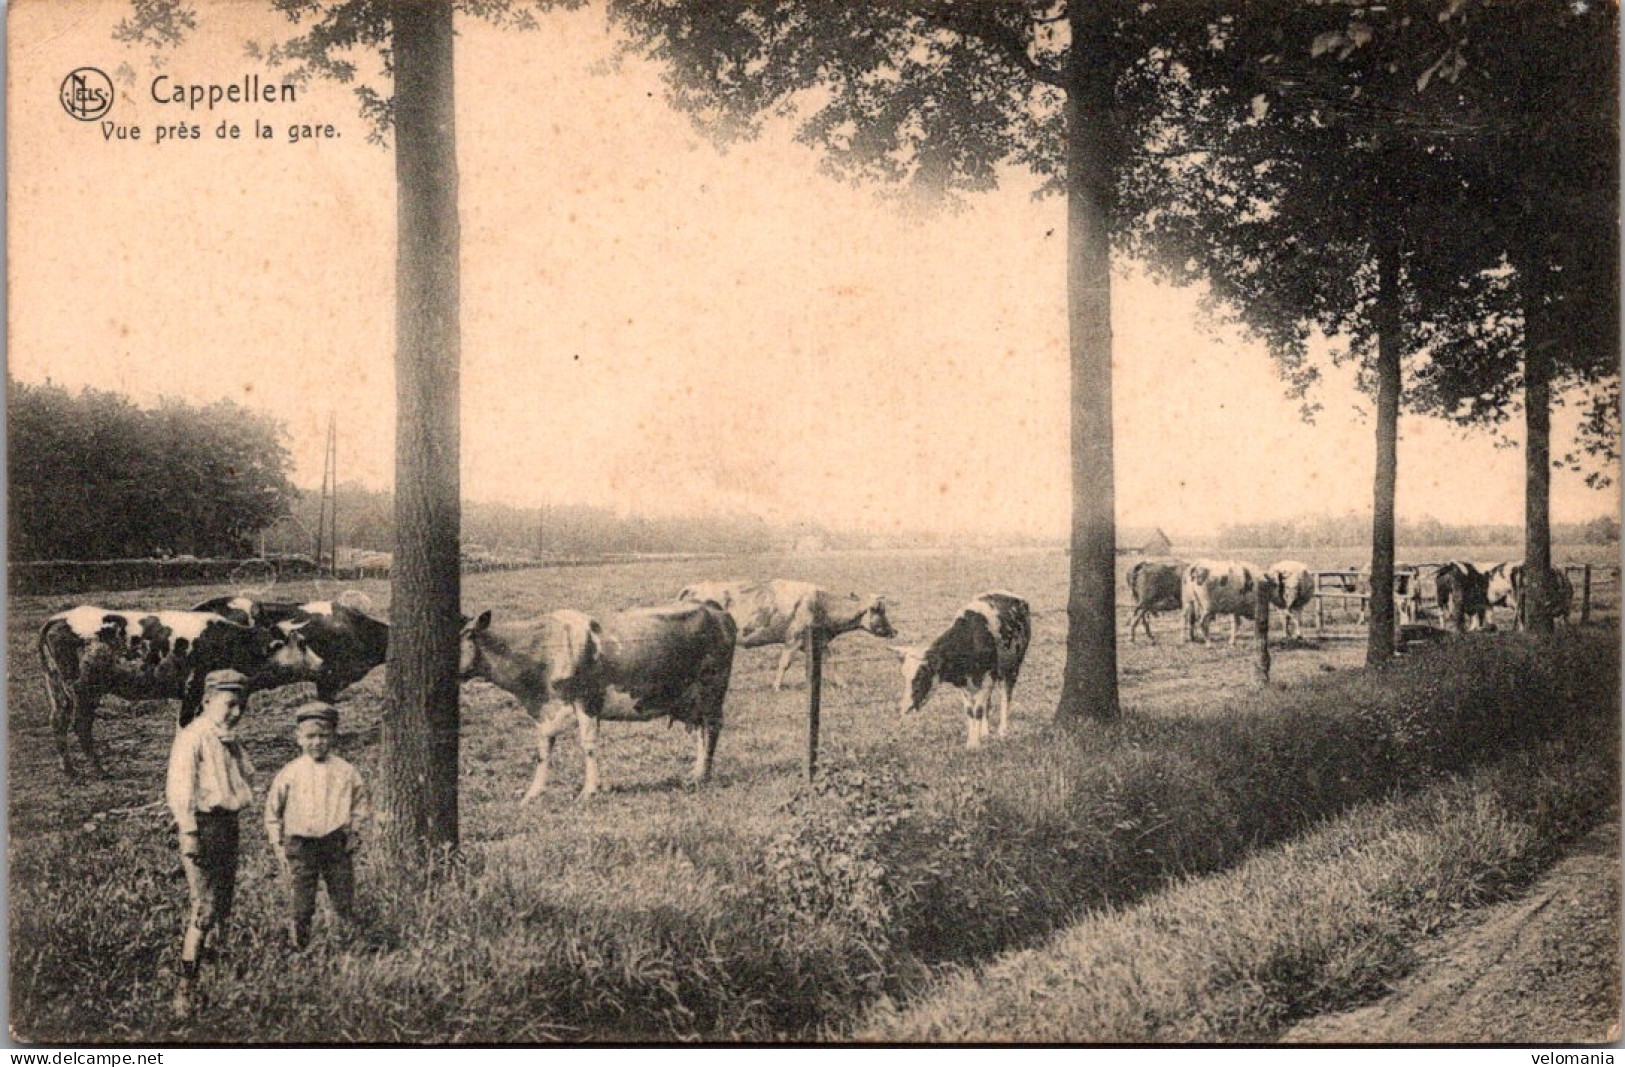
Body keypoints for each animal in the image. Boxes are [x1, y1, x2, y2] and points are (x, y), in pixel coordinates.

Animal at [35, 607, 316, 773]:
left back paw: (71, 771)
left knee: (57, 722)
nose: (322, 663)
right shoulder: (194, 688)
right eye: (302, 643)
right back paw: (98, 771)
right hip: (85, 689)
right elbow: (186, 726)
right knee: (80, 725)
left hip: (57, 688)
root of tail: (62, 616)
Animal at [458, 597, 737, 799]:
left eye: (466, 637)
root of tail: (714, 608)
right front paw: (533, 794)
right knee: (701, 731)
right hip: (694, 697)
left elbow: (588, 744)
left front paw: (589, 790)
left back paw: (702, 777)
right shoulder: (545, 709)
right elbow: (543, 749)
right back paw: (695, 773)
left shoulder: (587, 699)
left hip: (712, 686)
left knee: (712, 728)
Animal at [676, 578, 897, 685]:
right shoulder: (794, 638)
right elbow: (784, 664)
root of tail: (693, 586)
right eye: (880, 611)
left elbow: (828, 661)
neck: (821, 603)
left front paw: (840, 684)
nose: (894, 631)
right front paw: (776, 686)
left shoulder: (816, 641)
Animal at [890, 591, 1027, 750]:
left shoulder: (988, 677)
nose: (904, 706)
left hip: (1012, 668)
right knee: (988, 703)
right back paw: (985, 733)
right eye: (904, 676)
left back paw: (1003, 731)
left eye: (921, 675)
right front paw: (972, 741)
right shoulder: (964, 683)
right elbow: (970, 711)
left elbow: (978, 710)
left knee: (1006, 698)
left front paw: (975, 744)